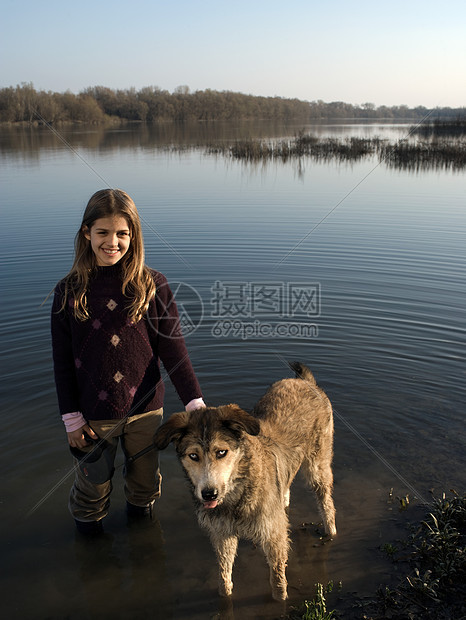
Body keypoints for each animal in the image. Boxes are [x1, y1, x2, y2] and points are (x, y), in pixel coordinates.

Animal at [155, 364, 336, 600]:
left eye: (221, 452)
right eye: (193, 456)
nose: (209, 494)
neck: (237, 491)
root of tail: (305, 381)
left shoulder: (273, 535)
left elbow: (277, 580)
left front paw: (280, 597)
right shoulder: (222, 534)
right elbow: (224, 575)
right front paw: (225, 593)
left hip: (318, 464)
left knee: (325, 499)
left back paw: (330, 530)